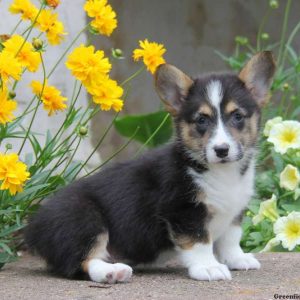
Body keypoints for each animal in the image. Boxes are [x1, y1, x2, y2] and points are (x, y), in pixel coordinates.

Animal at [24, 50, 276, 282]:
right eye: (201, 120)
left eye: (238, 116)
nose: (221, 150)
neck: (219, 172)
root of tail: (33, 228)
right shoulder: (183, 211)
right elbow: (199, 241)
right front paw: (209, 267)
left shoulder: (234, 211)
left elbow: (231, 238)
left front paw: (238, 259)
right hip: (84, 219)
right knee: (82, 261)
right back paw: (112, 271)